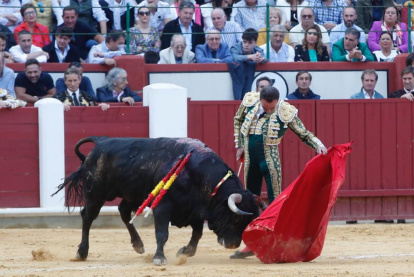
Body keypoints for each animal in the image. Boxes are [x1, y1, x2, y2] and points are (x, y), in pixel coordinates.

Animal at [51, 136, 258, 266]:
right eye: (236, 218)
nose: (233, 244)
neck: (198, 173)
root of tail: (101, 140)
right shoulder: (162, 208)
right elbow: (162, 233)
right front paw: (159, 258)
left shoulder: (195, 210)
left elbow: (197, 234)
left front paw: (185, 251)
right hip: (96, 194)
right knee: (87, 217)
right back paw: (82, 252)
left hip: (133, 195)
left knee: (124, 211)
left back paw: (138, 244)